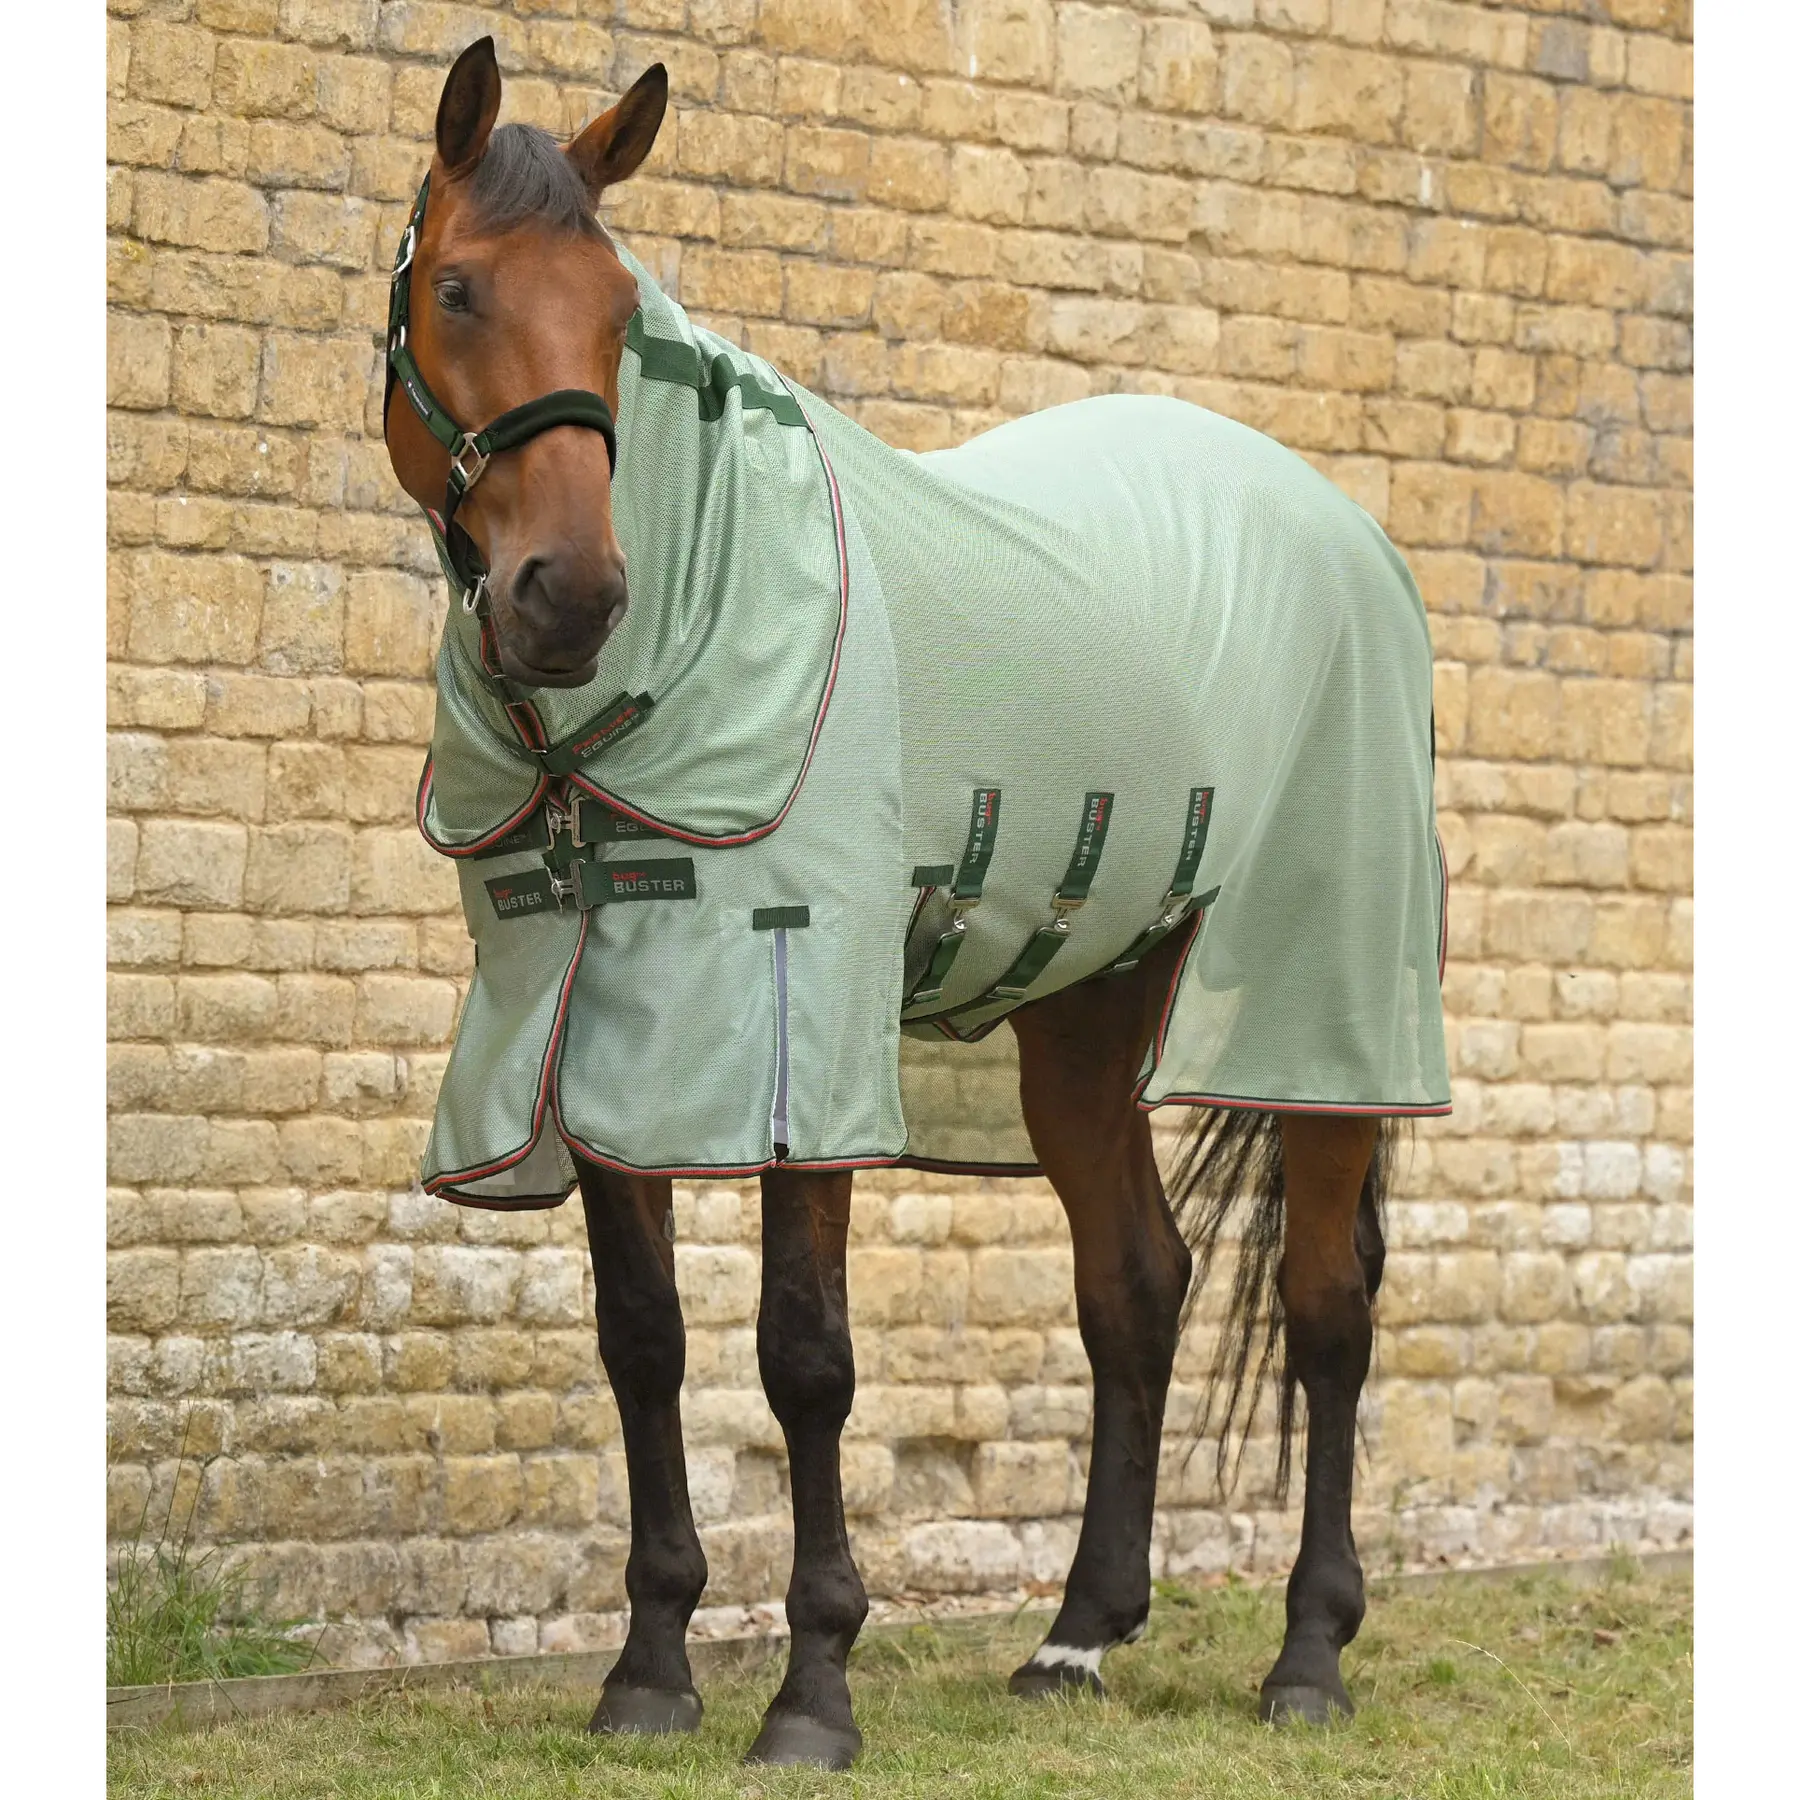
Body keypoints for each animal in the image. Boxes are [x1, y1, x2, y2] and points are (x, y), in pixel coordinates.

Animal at [381, 37, 1449, 1771]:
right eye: (460, 288)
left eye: (618, 316)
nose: (573, 598)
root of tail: (1341, 525)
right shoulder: (588, 1023)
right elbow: (643, 1341)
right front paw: (650, 1674)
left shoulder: (792, 1020)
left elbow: (804, 1357)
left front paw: (813, 1691)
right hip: (1087, 1012)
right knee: (1136, 1284)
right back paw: (1076, 1638)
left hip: (1318, 999)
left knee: (1324, 1305)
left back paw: (1308, 1656)